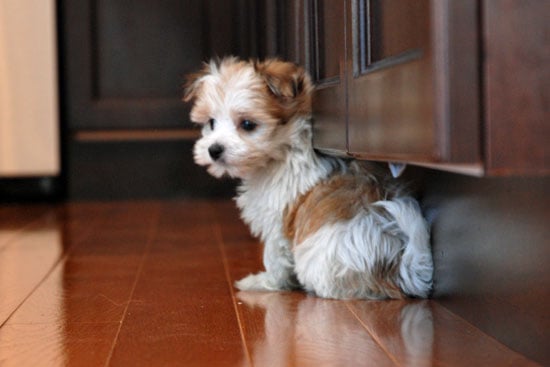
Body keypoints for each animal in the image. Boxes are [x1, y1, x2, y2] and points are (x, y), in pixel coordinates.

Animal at [185, 56, 436, 300]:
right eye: (211, 123)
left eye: (247, 124)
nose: (214, 149)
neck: (282, 150)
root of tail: (393, 268)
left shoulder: (276, 221)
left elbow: (274, 256)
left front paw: (266, 282)